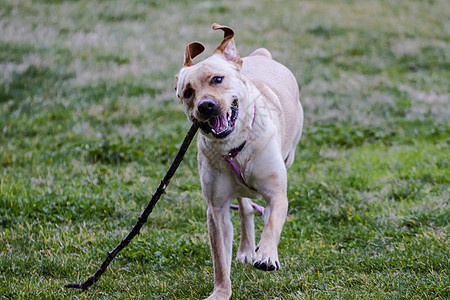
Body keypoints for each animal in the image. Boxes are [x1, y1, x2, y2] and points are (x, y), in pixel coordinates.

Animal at [174, 24, 304, 300]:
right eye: (188, 92)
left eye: (217, 79)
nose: (206, 106)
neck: (234, 146)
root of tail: (261, 56)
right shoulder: (216, 208)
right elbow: (219, 259)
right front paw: (221, 292)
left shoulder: (277, 192)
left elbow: (273, 222)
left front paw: (267, 255)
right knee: (245, 207)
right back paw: (246, 248)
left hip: (289, 154)